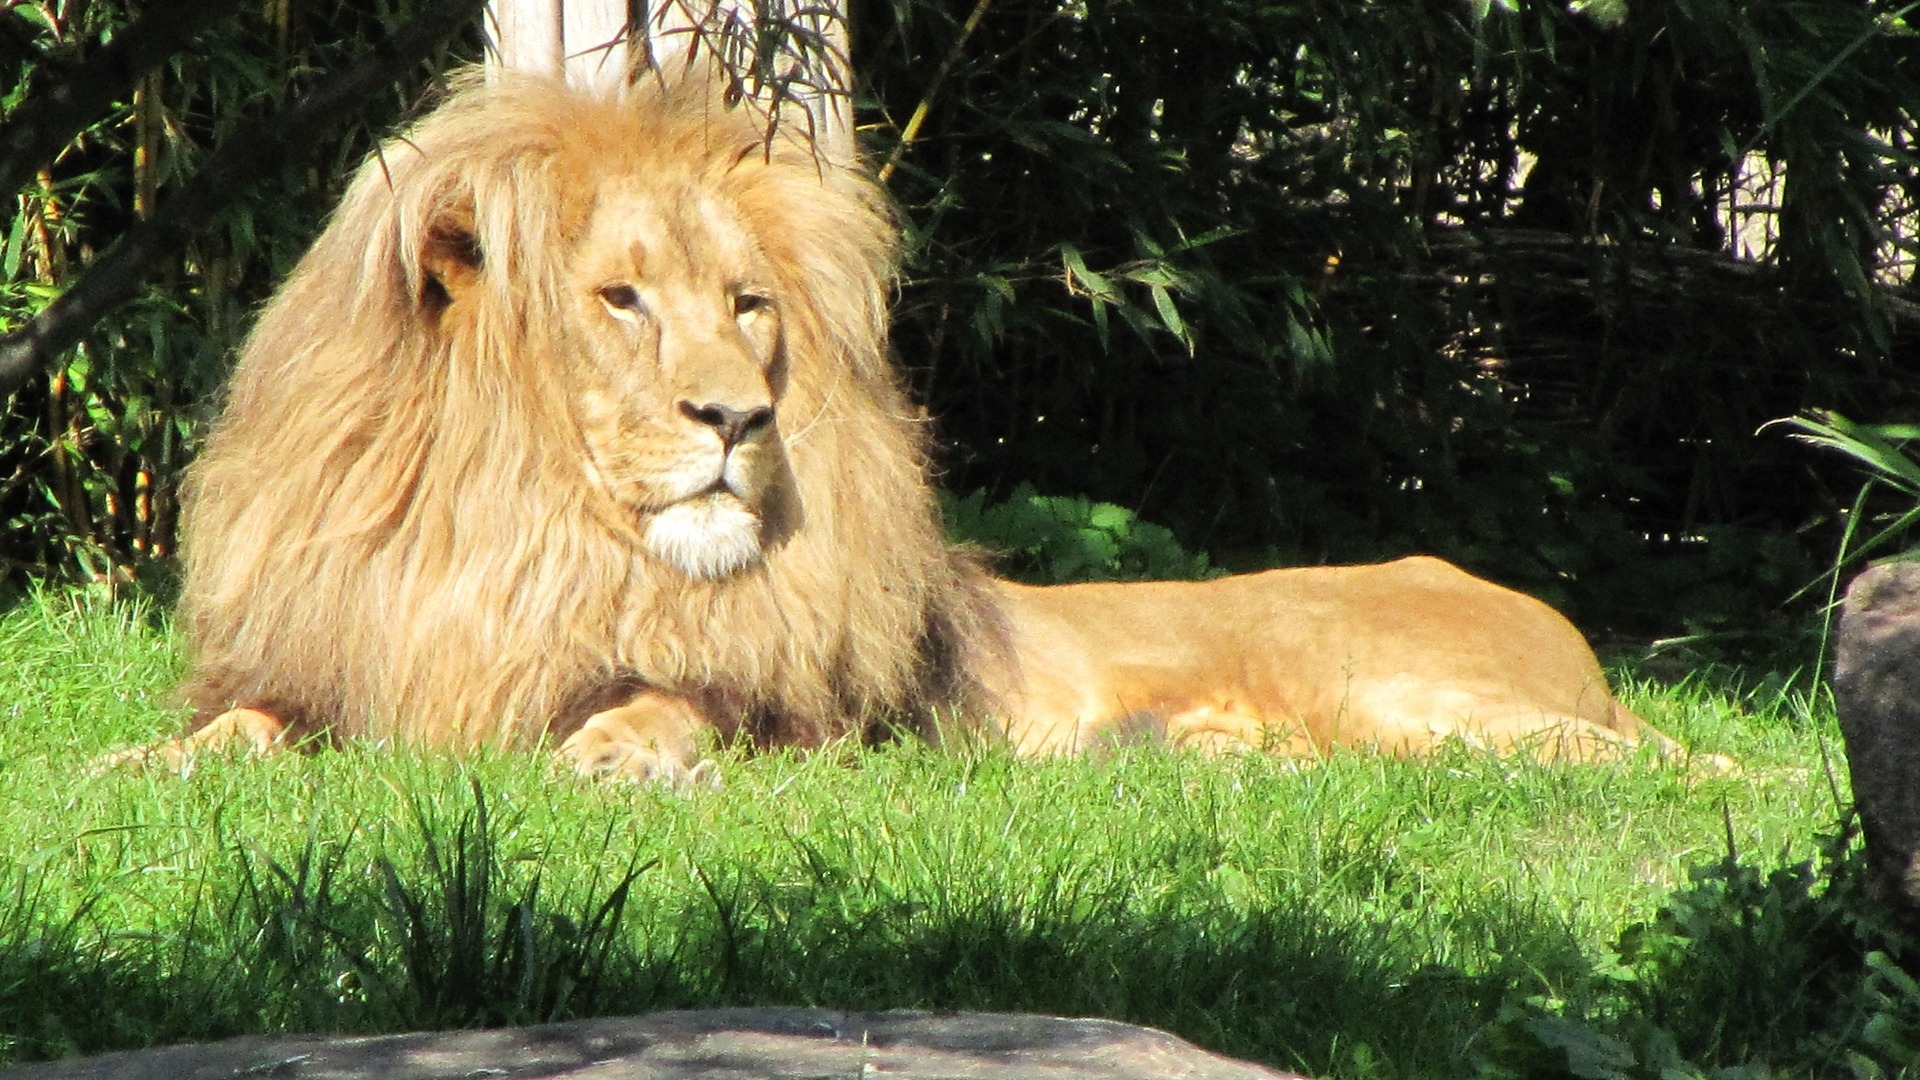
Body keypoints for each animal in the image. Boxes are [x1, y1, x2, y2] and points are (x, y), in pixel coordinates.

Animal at [112, 67, 1689, 776]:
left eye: (748, 304)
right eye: (621, 299)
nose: (738, 418)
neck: (518, 529)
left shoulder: (809, 716)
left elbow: (676, 695)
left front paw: (618, 752)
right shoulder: (353, 660)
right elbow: (251, 722)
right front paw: (148, 763)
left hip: (1398, 689)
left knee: (1682, 762)